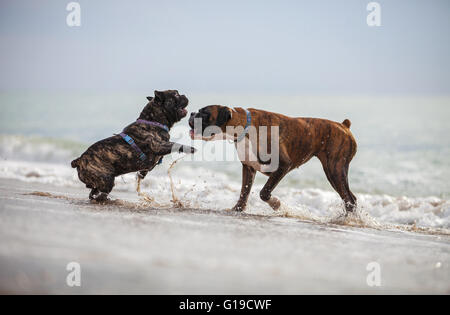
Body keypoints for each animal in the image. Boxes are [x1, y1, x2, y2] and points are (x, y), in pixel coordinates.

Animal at [188, 107, 356, 214]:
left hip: (334, 169)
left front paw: (276, 204)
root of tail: (344, 126)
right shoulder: (248, 168)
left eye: (204, 113)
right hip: (335, 172)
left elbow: (264, 192)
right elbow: (244, 192)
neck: (244, 126)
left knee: (349, 199)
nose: (191, 112)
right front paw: (238, 209)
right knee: (349, 197)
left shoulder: (282, 166)